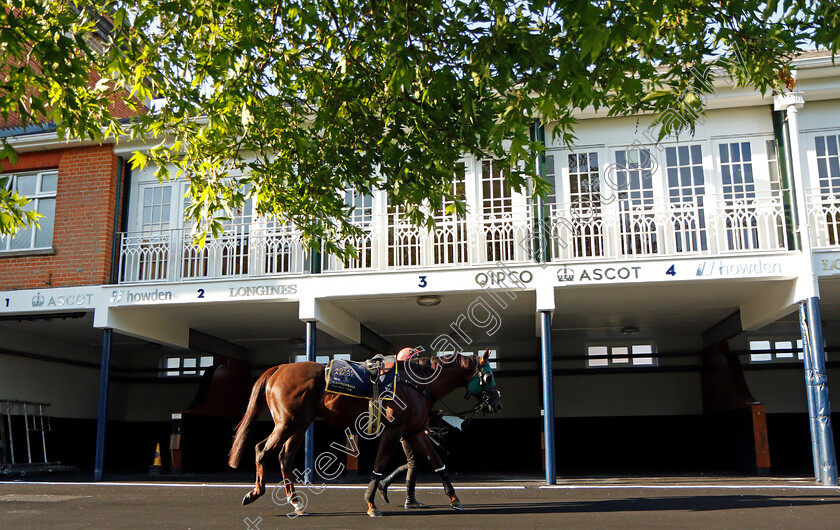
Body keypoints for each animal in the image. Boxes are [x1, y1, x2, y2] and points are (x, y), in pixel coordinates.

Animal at [230, 348, 502, 512]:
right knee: (262, 450)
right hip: (287, 423)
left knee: (284, 457)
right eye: (488, 377)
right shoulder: (394, 430)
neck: (415, 383)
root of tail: (278, 368)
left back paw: (295, 501)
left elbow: (438, 464)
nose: (497, 403)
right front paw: (371, 503)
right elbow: (379, 465)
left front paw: (454, 498)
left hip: (299, 425)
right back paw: (256, 492)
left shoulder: (414, 432)